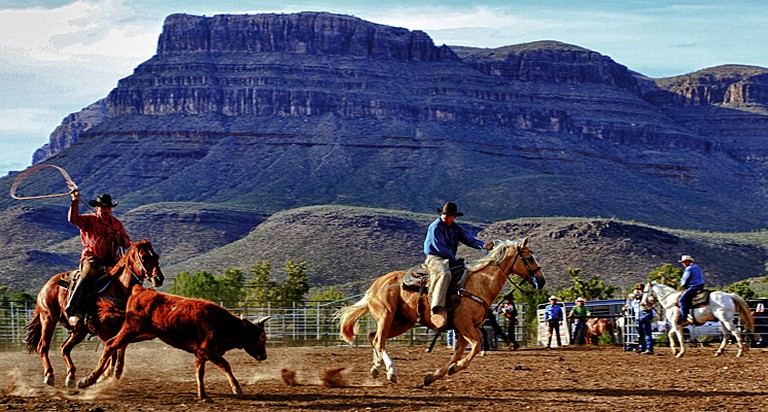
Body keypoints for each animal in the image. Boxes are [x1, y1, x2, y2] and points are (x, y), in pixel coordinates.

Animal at [25, 240, 163, 388]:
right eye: (144, 257)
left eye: (156, 256)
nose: (159, 278)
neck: (117, 289)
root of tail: (46, 285)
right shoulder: (102, 330)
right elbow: (112, 351)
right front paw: (101, 376)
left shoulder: (122, 329)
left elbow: (118, 350)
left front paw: (110, 374)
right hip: (48, 319)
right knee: (43, 347)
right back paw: (49, 375)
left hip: (79, 331)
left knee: (64, 348)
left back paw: (71, 377)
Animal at [75, 286, 268, 400]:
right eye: (262, 338)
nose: (264, 356)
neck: (222, 322)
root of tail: (140, 290)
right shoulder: (209, 350)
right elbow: (226, 365)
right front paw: (237, 389)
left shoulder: (200, 354)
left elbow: (199, 373)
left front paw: (203, 395)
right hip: (131, 328)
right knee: (111, 344)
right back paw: (89, 379)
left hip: (138, 332)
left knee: (115, 345)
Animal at [338, 238, 544, 386]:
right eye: (529, 258)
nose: (541, 281)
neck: (480, 283)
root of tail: (374, 286)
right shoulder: (465, 325)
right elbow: (475, 347)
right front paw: (453, 369)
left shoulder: (464, 329)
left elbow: (459, 353)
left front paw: (433, 376)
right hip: (386, 315)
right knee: (379, 341)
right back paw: (391, 372)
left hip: (402, 322)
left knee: (373, 337)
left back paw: (376, 369)